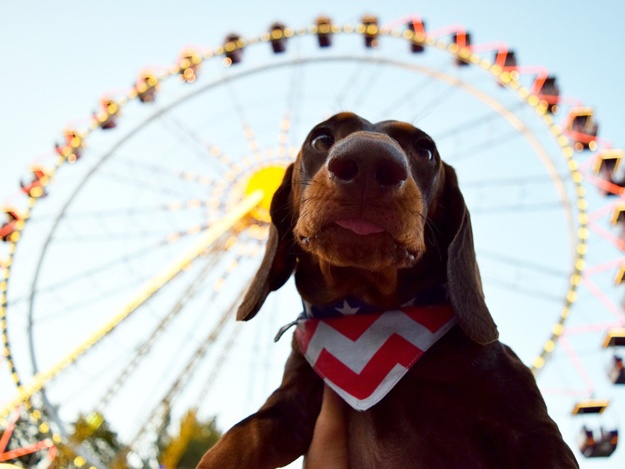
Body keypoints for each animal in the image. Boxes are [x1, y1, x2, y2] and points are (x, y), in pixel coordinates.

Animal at [197, 111, 576, 466]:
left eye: (425, 150)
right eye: (320, 138)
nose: (368, 161)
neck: (366, 310)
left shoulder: (531, 427)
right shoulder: (287, 408)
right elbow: (232, 443)